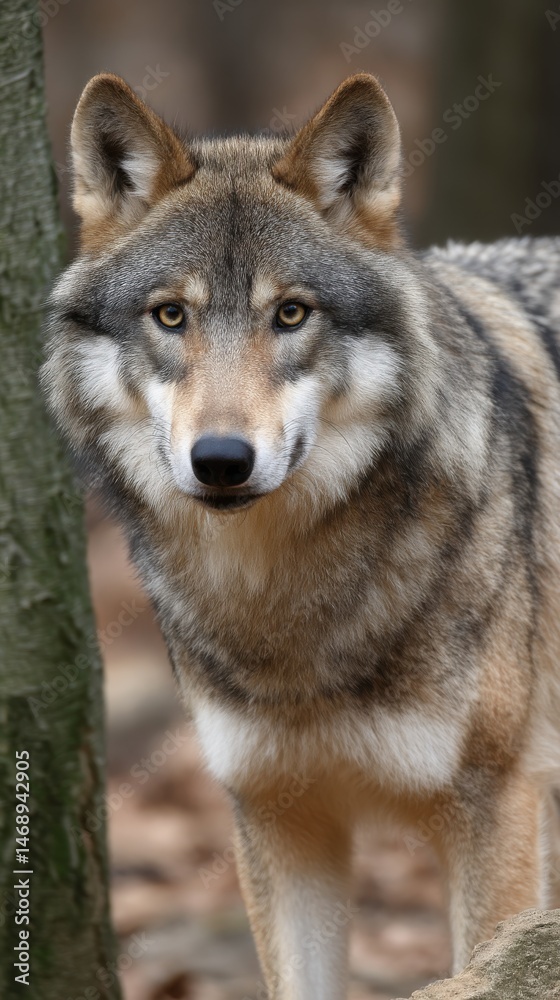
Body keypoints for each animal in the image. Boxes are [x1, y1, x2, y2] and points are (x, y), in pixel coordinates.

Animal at [41, 71, 560, 997]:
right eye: (170, 316)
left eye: (290, 314)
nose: (220, 460)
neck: (288, 613)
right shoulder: (279, 821)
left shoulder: (498, 810)